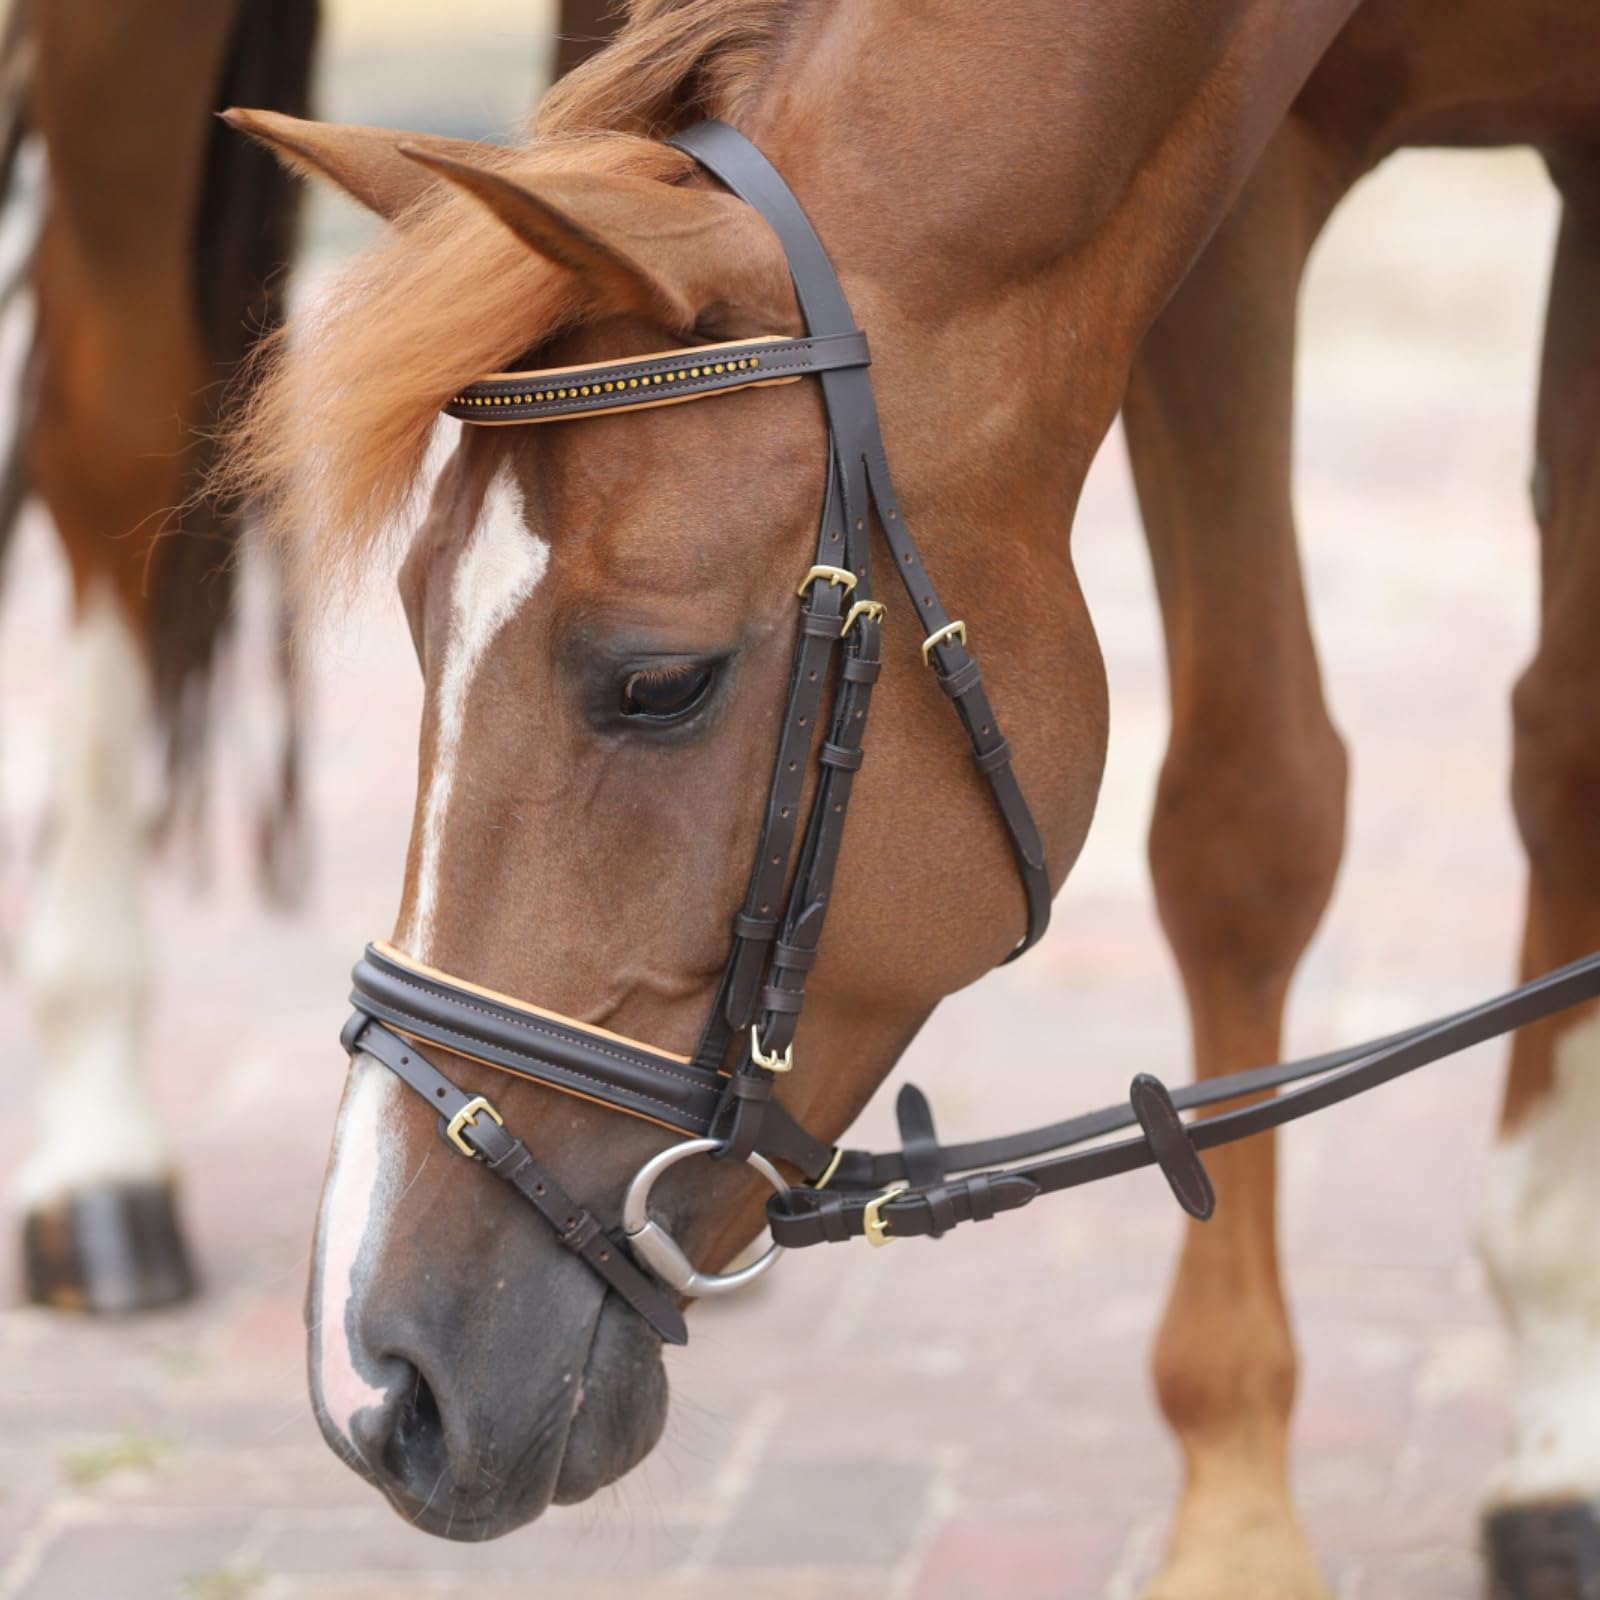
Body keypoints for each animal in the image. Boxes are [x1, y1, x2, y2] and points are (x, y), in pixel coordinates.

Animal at [220, 0, 1600, 1593]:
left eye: (658, 683)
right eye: (412, 616)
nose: (376, 1379)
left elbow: (1519, 760)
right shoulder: (1246, 185)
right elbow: (1248, 818)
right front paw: (1245, 1502)